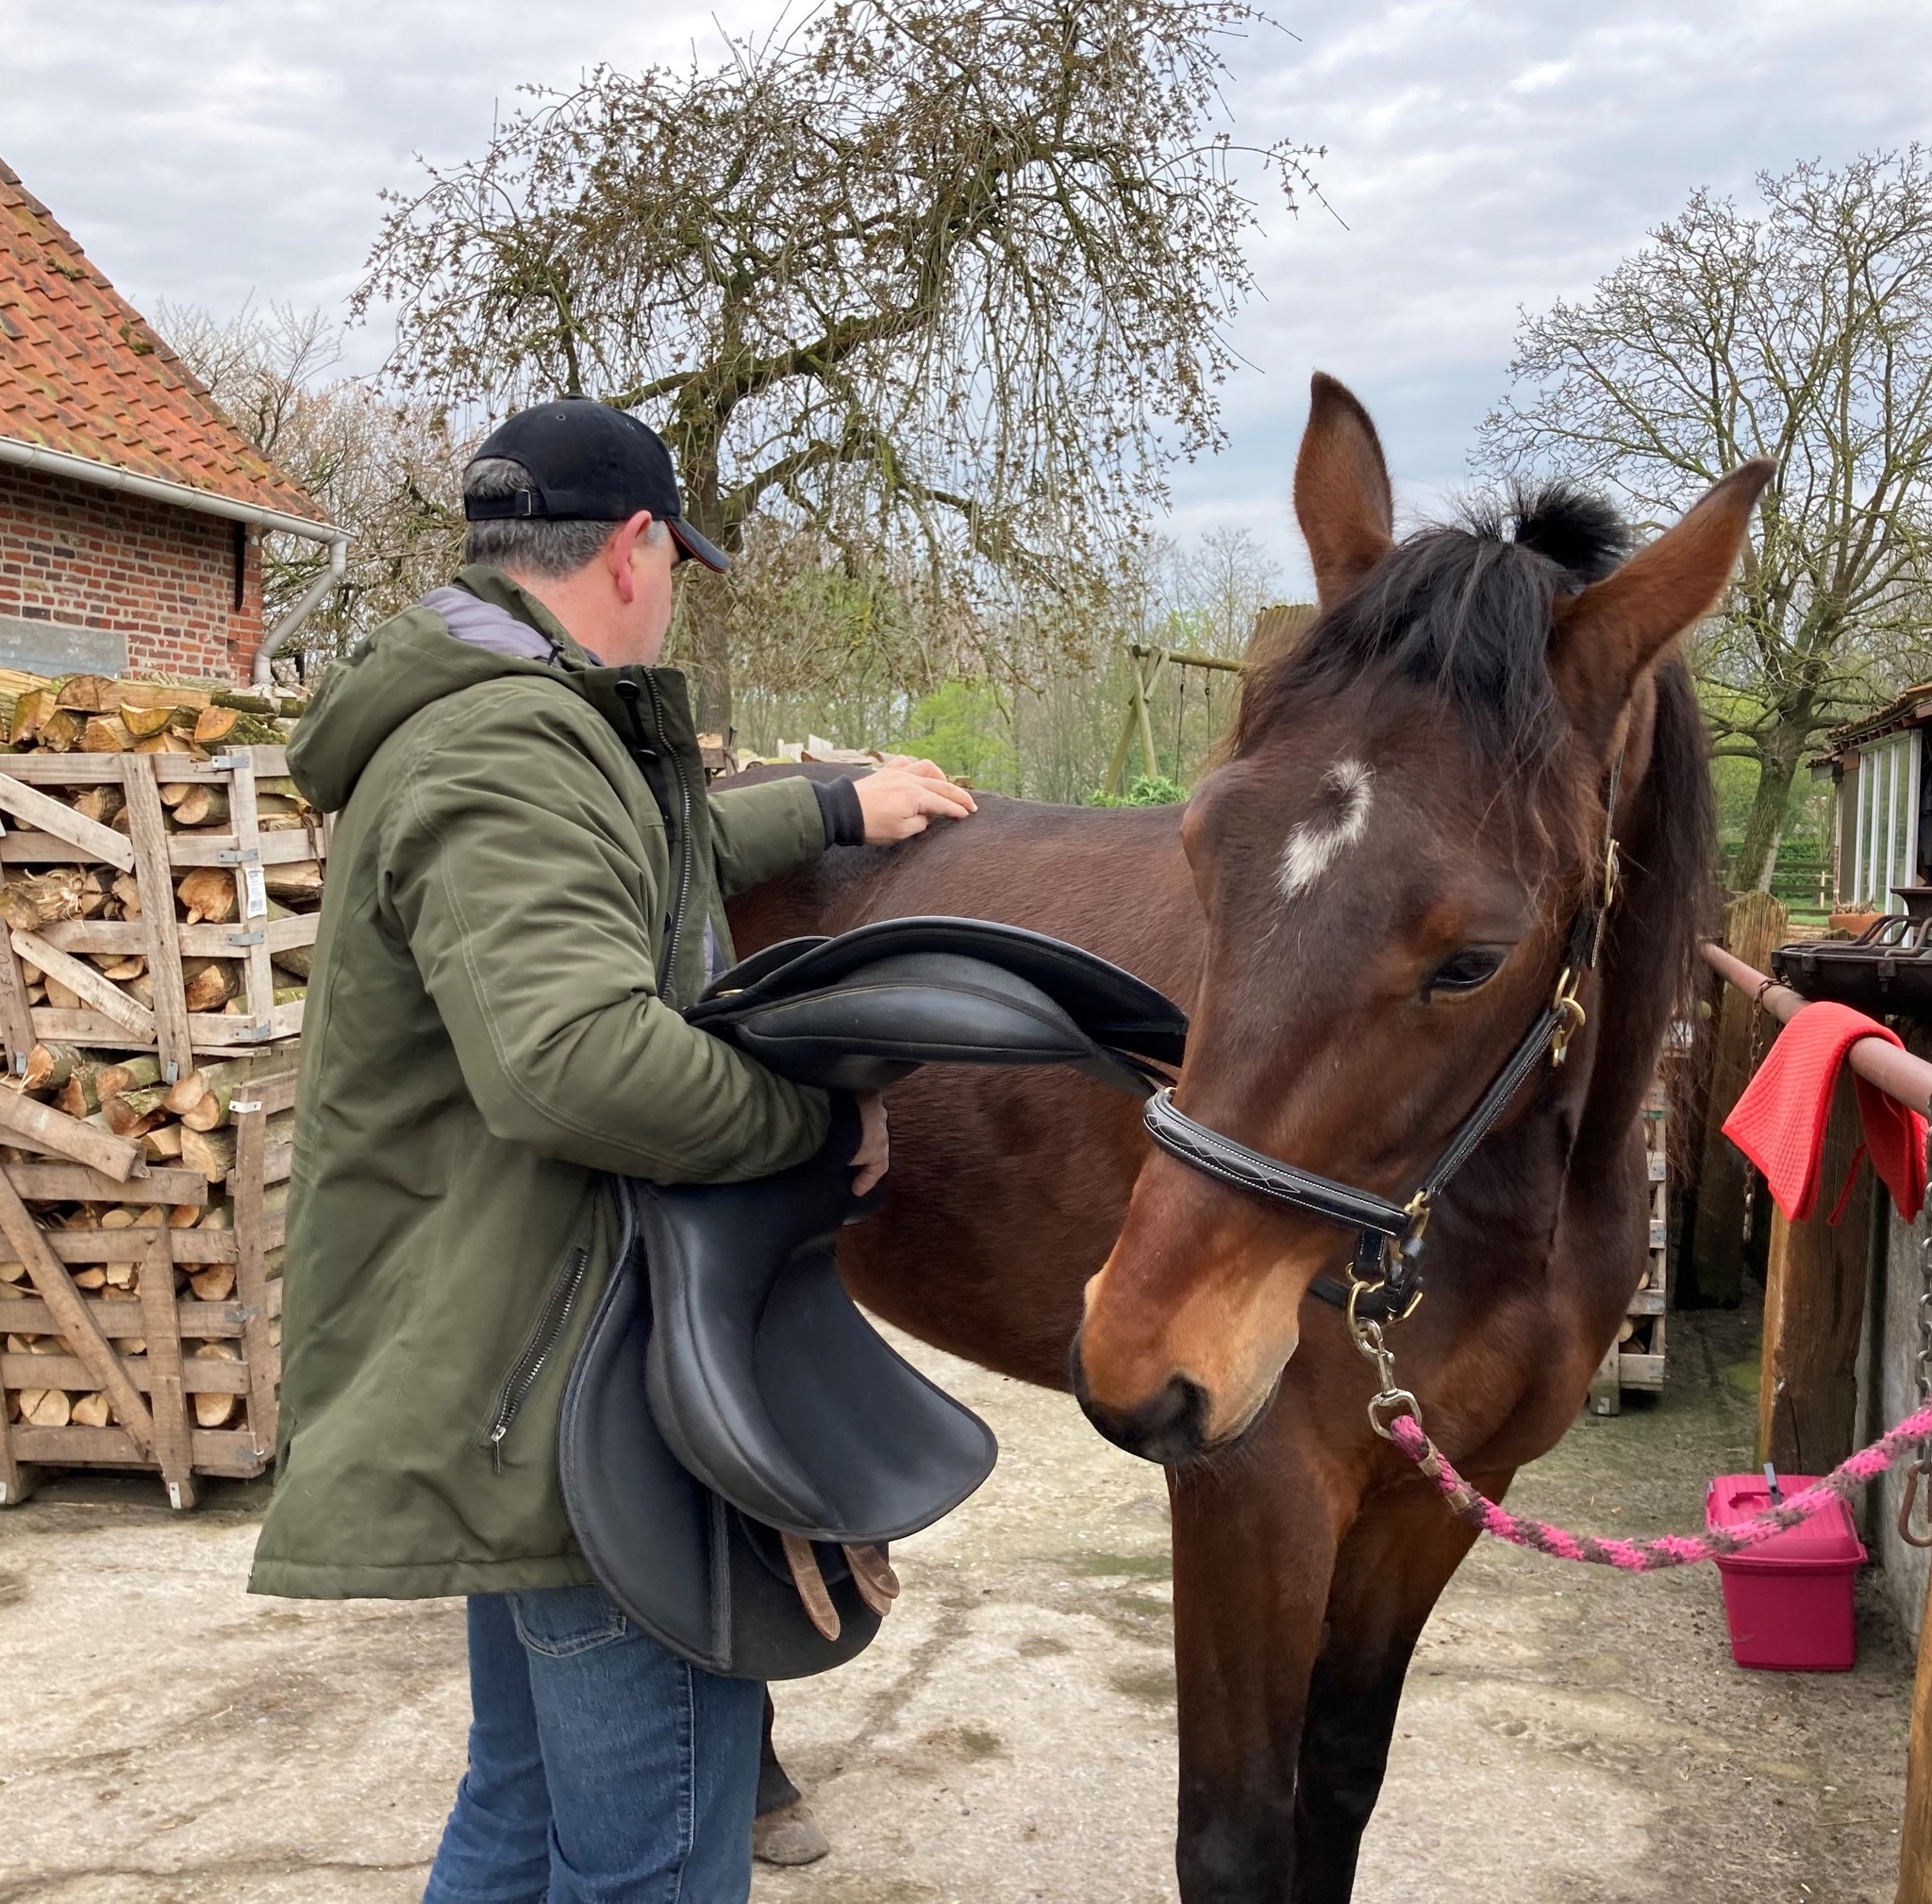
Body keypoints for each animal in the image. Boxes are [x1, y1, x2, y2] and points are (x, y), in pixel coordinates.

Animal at [729, 373, 1770, 1901]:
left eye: (1474, 958)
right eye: (1202, 852)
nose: (1139, 1359)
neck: (1496, 1219)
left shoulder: (1441, 1497)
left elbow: (1336, 1784)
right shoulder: (1253, 1496)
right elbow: (1229, 1831)